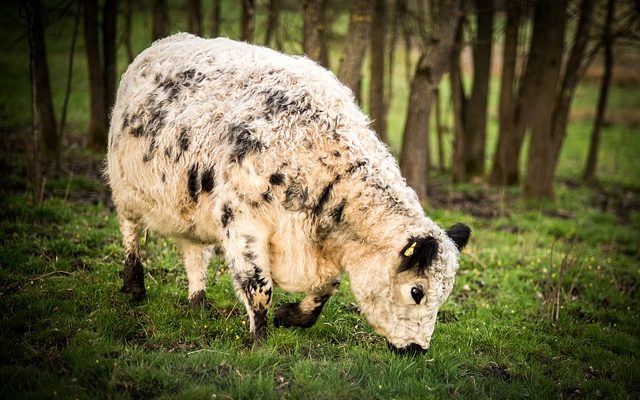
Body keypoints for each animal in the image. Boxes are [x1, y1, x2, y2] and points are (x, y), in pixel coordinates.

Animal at [106, 33, 470, 354]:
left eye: (444, 294)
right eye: (417, 291)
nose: (418, 349)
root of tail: (161, 45)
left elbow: (325, 289)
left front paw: (291, 316)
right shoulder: (243, 223)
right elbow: (258, 287)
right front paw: (260, 341)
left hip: (190, 207)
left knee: (195, 253)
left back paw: (198, 303)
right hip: (125, 187)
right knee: (130, 231)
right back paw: (135, 285)